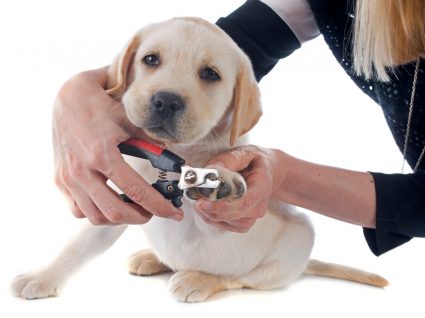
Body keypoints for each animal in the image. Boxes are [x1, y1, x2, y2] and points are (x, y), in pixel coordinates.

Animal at [11, 18, 388, 304]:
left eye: (210, 74)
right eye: (150, 60)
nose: (165, 101)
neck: (183, 151)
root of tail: (305, 264)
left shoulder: (215, 221)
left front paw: (223, 180)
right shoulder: (119, 204)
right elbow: (79, 244)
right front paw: (43, 276)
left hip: (295, 242)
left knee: (240, 278)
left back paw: (197, 280)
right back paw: (151, 258)